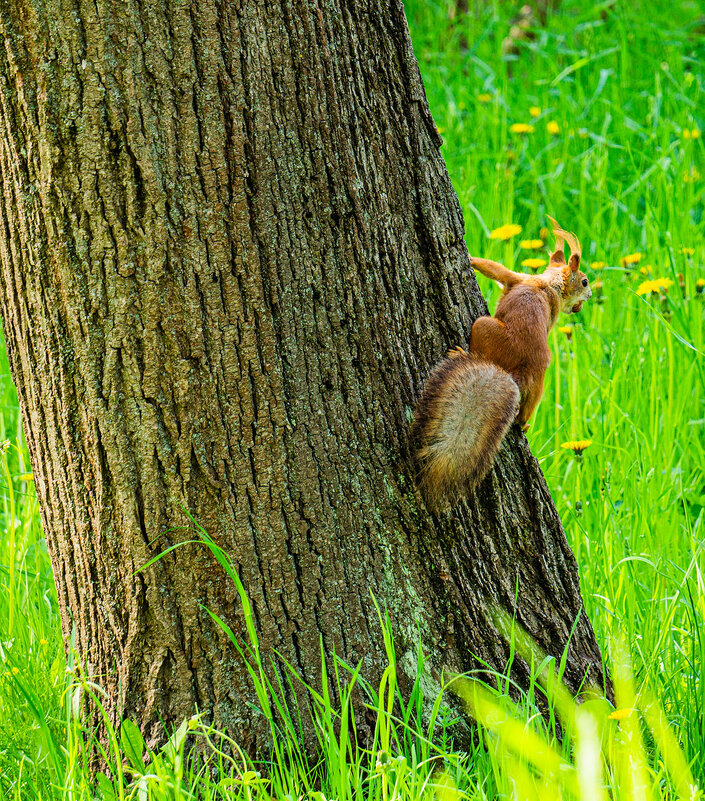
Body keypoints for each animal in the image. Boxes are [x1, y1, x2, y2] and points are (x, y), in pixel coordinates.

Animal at [410, 219, 592, 506]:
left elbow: (496, 269)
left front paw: (471, 259)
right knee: (531, 401)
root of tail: (508, 372)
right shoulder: (527, 284)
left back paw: (460, 353)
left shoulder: (518, 279)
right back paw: (524, 422)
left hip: (483, 326)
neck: (549, 284)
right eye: (584, 281)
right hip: (538, 382)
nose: (591, 295)